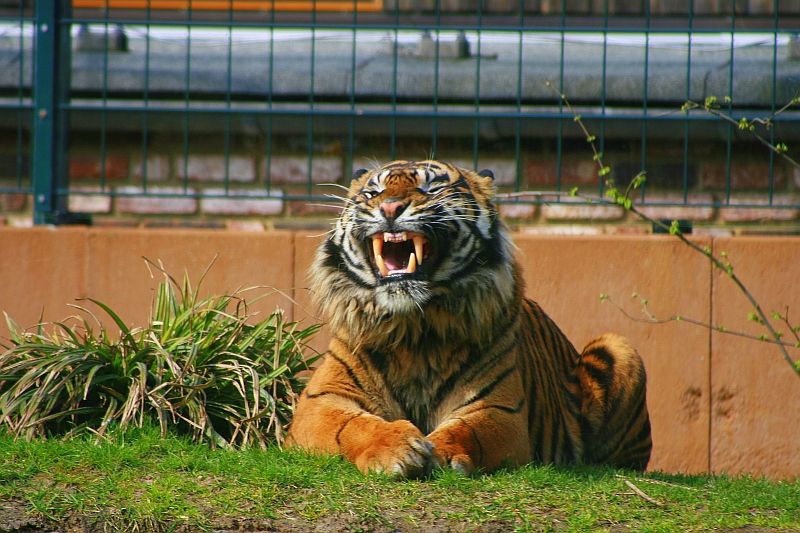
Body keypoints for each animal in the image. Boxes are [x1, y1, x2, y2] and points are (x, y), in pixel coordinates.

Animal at [286, 159, 651, 478]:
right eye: (373, 192)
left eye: (431, 187)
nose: (390, 208)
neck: (414, 328)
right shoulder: (320, 401)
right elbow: (355, 424)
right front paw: (396, 449)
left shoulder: (499, 410)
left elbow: (468, 430)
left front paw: (442, 454)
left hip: (619, 347)